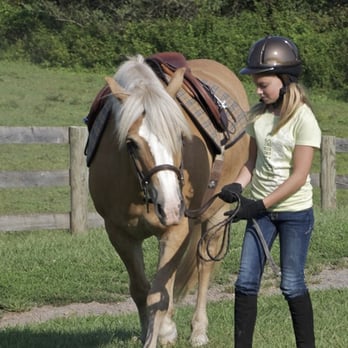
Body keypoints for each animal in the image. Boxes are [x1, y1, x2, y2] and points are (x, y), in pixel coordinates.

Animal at [87, 53, 250, 346]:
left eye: (181, 137)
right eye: (131, 143)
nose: (172, 206)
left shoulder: (176, 229)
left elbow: (157, 295)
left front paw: (158, 334)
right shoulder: (119, 234)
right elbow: (142, 290)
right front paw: (152, 333)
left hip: (215, 216)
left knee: (204, 266)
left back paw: (198, 331)